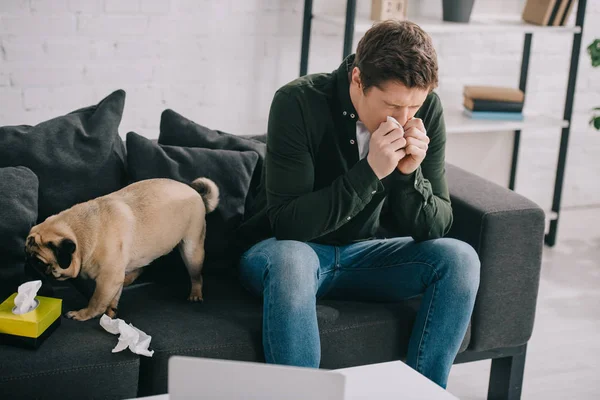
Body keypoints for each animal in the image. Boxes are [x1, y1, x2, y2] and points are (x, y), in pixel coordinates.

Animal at [25, 178, 220, 322]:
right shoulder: (114, 276)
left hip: (191, 250)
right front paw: (111, 311)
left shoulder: (108, 277)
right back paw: (128, 279)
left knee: (196, 276)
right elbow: (113, 297)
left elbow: (96, 300)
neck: (80, 234)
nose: (29, 262)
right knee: (141, 267)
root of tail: (195, 193)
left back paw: (195, 294)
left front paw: (83, 314)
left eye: (40, 262)